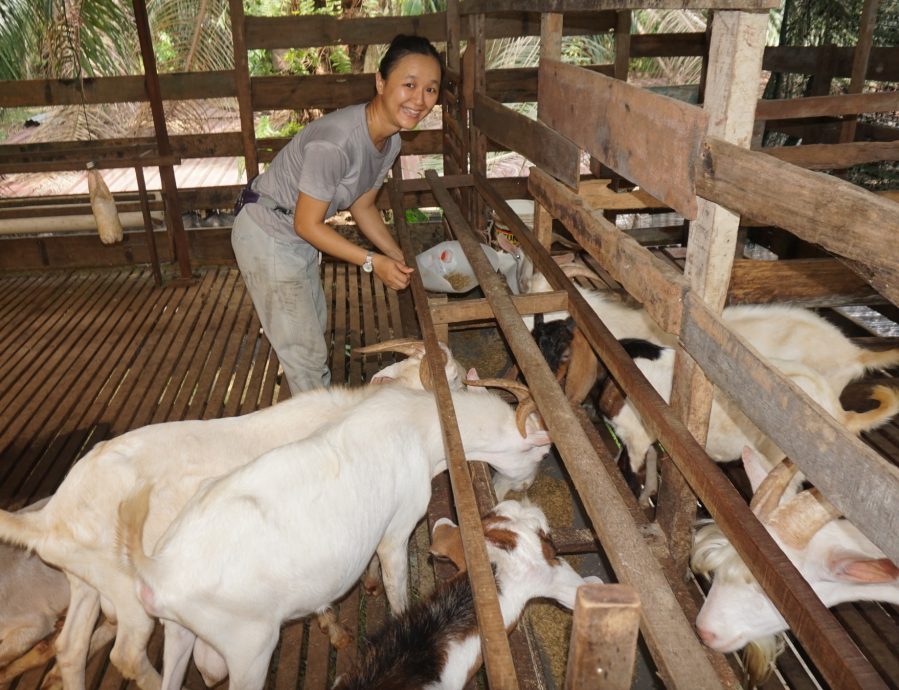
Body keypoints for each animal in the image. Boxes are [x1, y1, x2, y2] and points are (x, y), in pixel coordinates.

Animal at [0, 342, 464, 688]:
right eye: (455, 379)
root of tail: (49, 519)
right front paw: (335, 625)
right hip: (125, 589)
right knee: (127, 653)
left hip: (85, 582)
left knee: (70, 649)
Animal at [116, 382, 552, 688]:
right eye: (540, 453)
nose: (525, 488)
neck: (422, 426)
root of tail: (157, 568)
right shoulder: (399, 526)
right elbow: (396, 585)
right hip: (249, 649)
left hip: (178, 632)